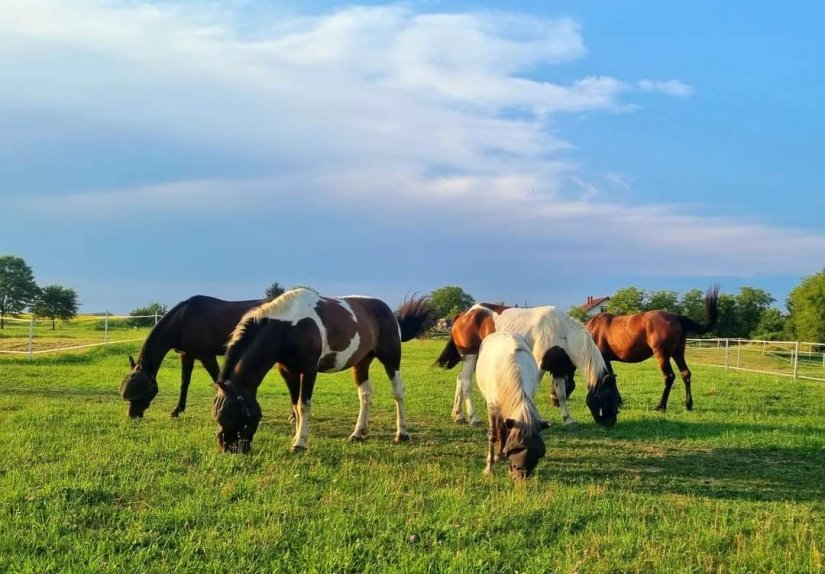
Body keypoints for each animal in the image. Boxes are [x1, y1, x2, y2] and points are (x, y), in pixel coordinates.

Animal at [117, 296, 260, 418]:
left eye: (139, 393)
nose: (132, 415)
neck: (183, 321)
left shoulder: (207, 357)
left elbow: (218, 381)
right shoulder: (186, 356)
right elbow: (184, 383)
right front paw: (176, 411)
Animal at [209, 290, 434, 456]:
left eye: (236, 415)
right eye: (219, 416)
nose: (229, 449)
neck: (288, 326)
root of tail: (388, 311)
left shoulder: (308, 369)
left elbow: (303, 405)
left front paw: (299, 444)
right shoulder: (287, 371)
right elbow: (295, 406)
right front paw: (296, 437)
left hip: (391, 358)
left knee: (398, 393)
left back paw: (402, 433)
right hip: (361, 363)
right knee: (365, 395)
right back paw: (358, 433)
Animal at [432, 306, 616, 428]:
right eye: (607, 399)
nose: (610, 423)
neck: (563, 332)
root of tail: (464, 315)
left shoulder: (557, 368)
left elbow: (562, 394)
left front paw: (568, 418)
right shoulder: (540, 365)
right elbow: (531, 393)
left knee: (460, 380)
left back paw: (458, 415)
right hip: (471, 357)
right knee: (466, 384)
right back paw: (473, 418)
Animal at [474, 332, 552, 482]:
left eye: (537, 453)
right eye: (515, 449)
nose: (521, 476)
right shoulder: (492, 406)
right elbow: (493, 435)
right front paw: (489, 468)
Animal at [584, 284, 716, 412]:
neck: (593, 329)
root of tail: (676, 317)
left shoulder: (603, 359)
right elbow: (611, 378)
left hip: (662, 356)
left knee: (669, 377)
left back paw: (661, 406)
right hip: (678, 353)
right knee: (685, 374)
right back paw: (688, 404)